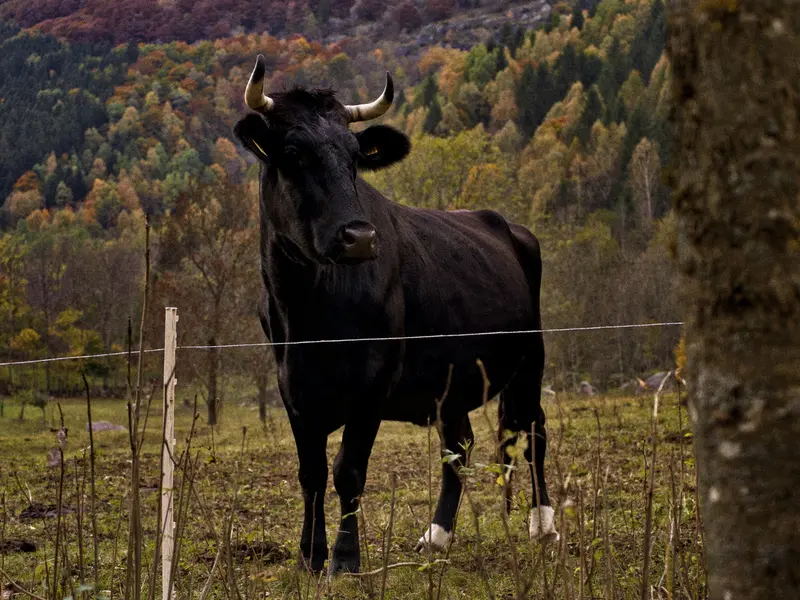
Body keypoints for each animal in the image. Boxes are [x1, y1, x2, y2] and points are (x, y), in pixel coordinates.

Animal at [231, 57, 556, 576]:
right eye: (294, 152)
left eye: (354, 157)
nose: (360, 237)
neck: (308, 313)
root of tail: (505, 223)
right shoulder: (292, 386)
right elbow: (311, 473)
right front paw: (309, 556)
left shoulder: (373, 381)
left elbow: (348, 470)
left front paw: (345, 560)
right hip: (451, 381)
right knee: (459, 446)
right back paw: (437, 535)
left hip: (530, 359)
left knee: (533, 430)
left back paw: (542, 524)